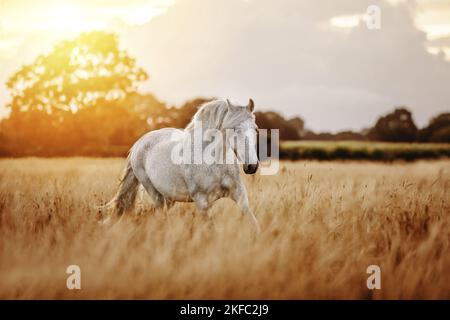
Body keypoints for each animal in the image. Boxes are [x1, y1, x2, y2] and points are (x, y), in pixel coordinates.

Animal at [102, 99, 262, 231]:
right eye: (235, 129)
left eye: (255, 128)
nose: (251, 166)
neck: (214, 163)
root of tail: (139, 143)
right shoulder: (202, 201)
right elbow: (211, 229)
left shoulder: (239, 194)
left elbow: (253, 223)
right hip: (154, 192)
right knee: (160, 214)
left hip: (169, 197)